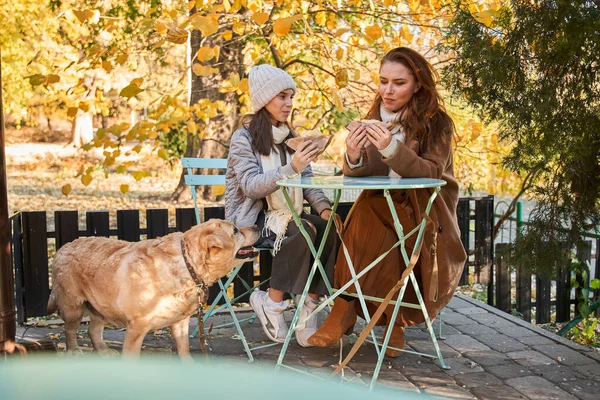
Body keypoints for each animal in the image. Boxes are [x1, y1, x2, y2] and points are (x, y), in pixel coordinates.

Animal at [47, 220, 260, 358]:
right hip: (73, 307)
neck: (188, 263)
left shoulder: (180, 323)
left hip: (101, 306)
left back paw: (103, 350)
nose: (257, 226)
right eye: (235, 230)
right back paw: (74, 350)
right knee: (70, 329)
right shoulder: (136, 327)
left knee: (93, 330)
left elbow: (184, 350)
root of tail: (62, 248)